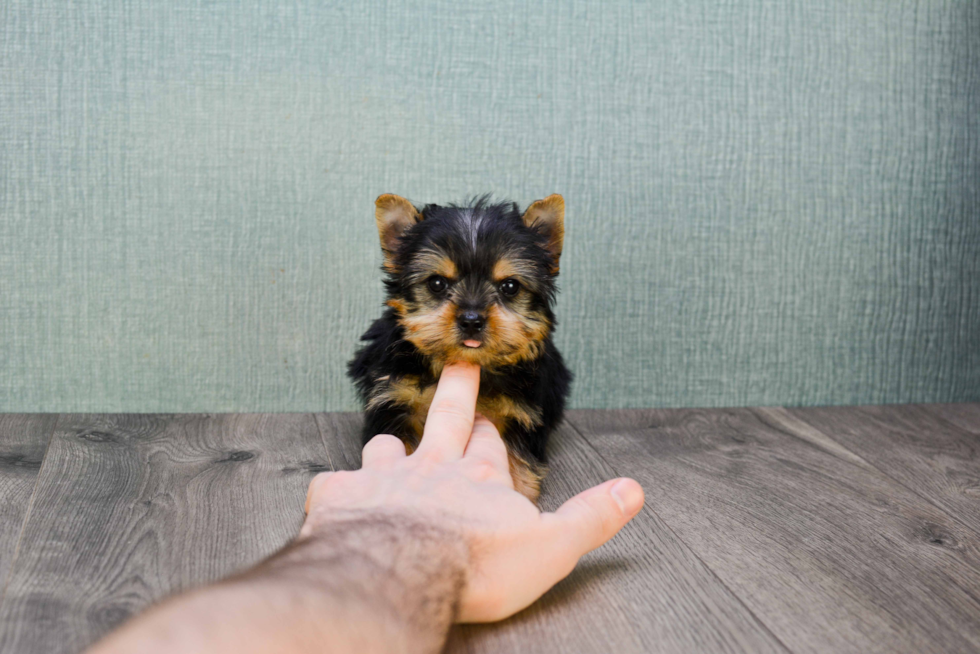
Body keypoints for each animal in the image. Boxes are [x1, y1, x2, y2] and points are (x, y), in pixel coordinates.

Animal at [346, 195, 572, 502]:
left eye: (510, 286)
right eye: (437, 283)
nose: (472, 320)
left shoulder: (519, 415)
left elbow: (515, 460)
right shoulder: (396, 402)